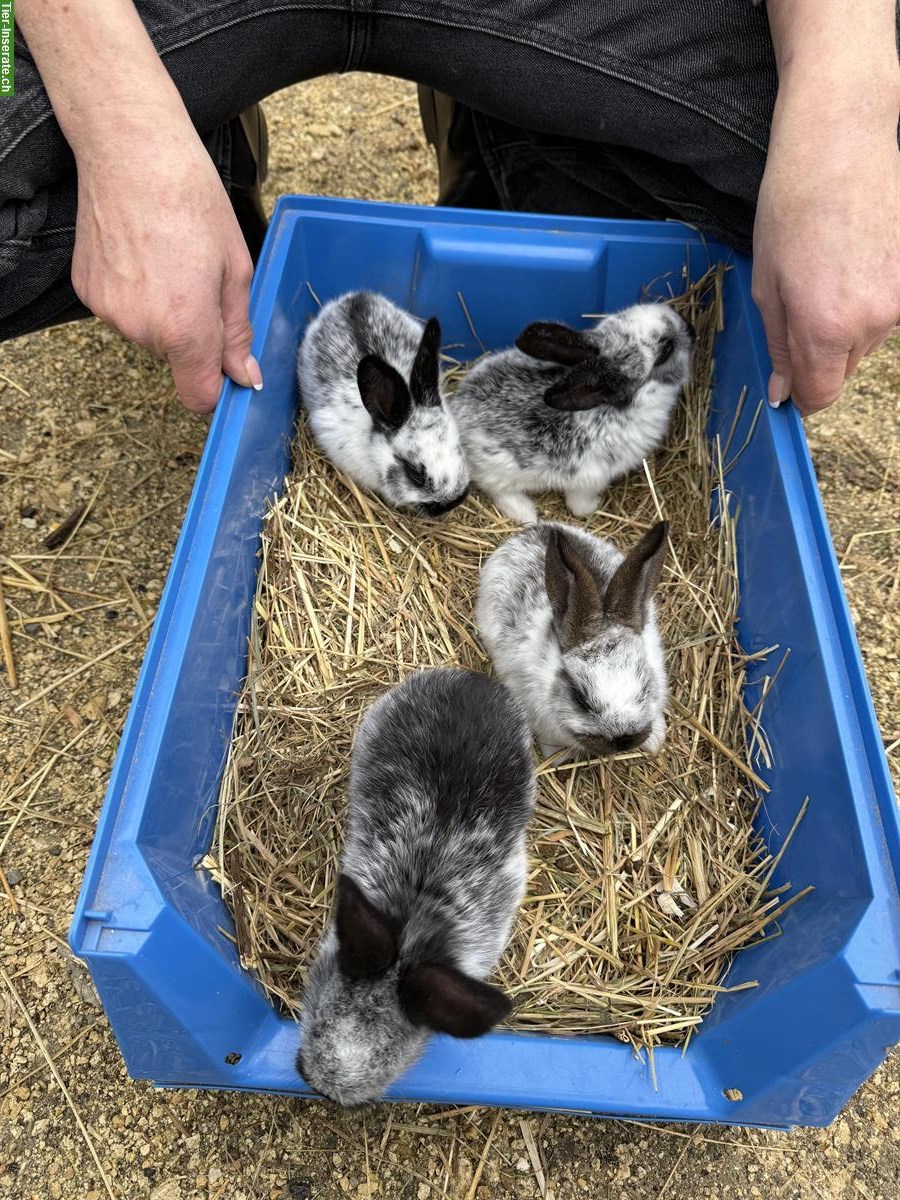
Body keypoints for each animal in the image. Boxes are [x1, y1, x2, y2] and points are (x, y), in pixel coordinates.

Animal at [451, 302, 696, 523]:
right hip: (498, 474)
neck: (614, 409)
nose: (691, 328)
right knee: (500, 493)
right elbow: (578, 505)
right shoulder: (590, 481)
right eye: (666, 351)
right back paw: (527, 514)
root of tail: (457, 411)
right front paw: (595, 506)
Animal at [480, 518, 672, 758]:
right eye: (580, 699)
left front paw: (656, 741)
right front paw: (556, 757)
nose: (623, 740)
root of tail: (535, 527)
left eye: (645, 688)